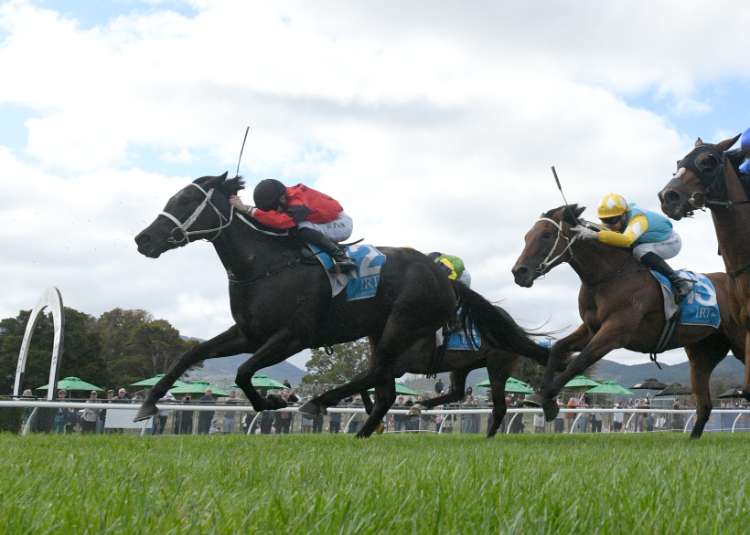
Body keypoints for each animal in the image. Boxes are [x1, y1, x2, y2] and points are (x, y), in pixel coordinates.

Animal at [133, 172, 548, 437]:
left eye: (187, 200)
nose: (143, 239)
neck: (266, 264)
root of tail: (443, 278)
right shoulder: (250, 333)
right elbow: (192, 354)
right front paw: (148, 404)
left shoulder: (293, 336)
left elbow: (243, 371)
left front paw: (272, 402)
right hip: (388, 334)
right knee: (386, 388)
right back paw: (361, 429)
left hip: (409, 326)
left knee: (384, 377)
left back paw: (319, 402)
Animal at [511, 204, 746, 438]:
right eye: (526, 236)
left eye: (547, 235)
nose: (518, 272)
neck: (609, 276)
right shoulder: (591, 328)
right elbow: (558, 348)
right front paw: (545, 399)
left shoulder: (616, 332)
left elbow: (580, 361)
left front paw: (544, 397)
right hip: (703, 352)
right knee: (704, 405)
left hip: (739, 341)